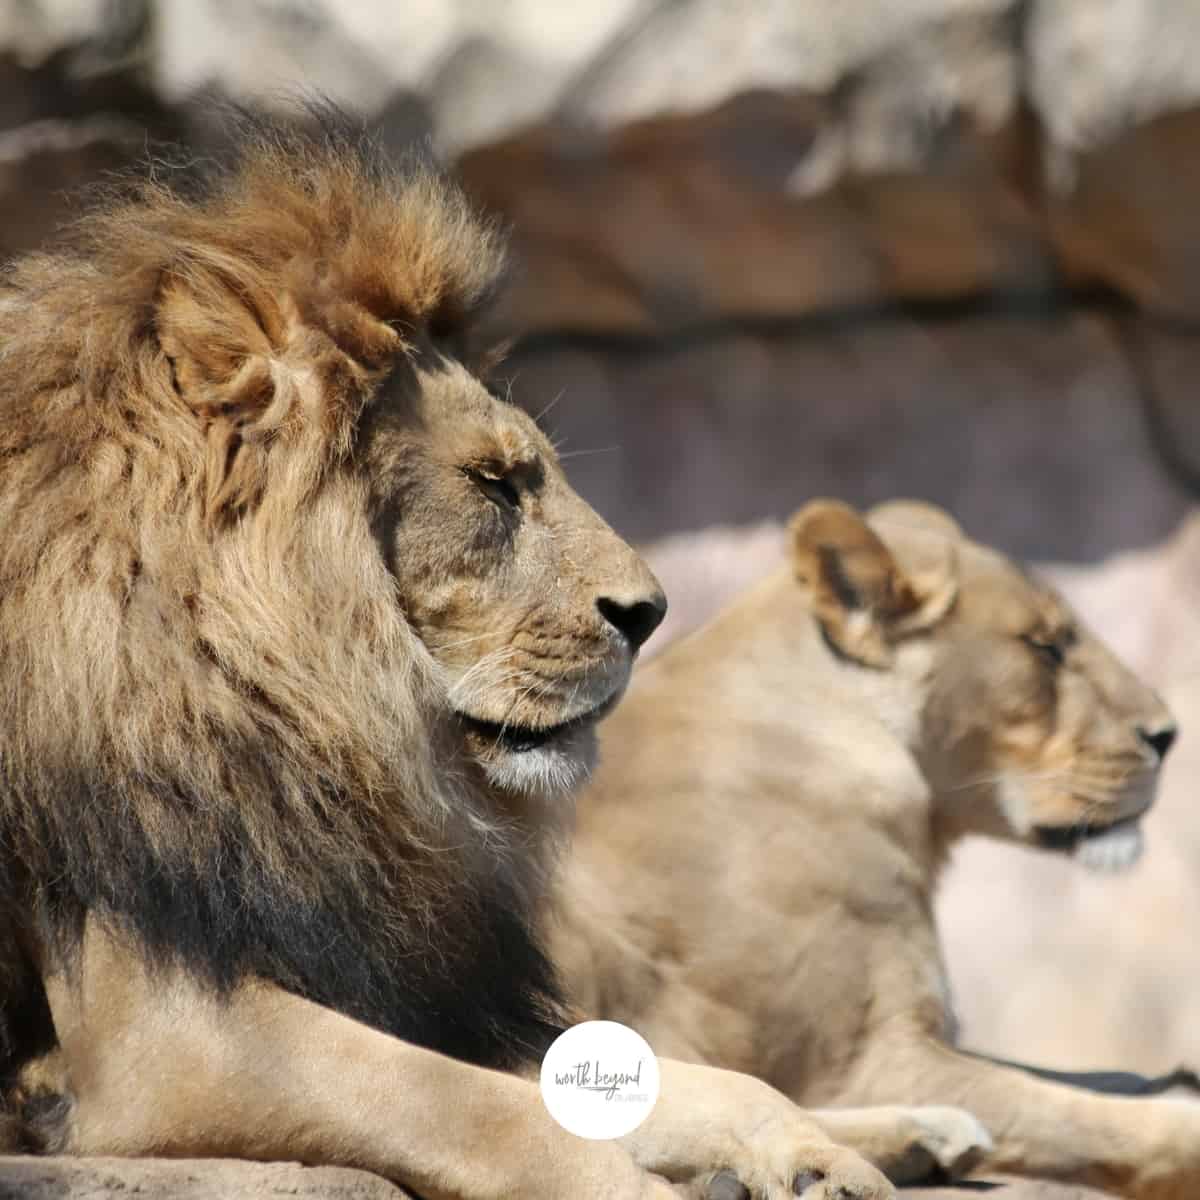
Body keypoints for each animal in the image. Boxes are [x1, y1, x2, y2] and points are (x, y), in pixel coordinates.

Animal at [0, 109, 905, 1200]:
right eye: (492, 484)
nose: (650, 612)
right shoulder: (162, 1036)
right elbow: (477, 1108)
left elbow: (684, 1081)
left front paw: (812, 1157)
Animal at [553, 497, 1200, 1198]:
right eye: (1045, 647)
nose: (1168, 735)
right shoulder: (866, 1059)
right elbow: (1095, 1117)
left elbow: (1084, 1081)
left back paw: (925, 1138)